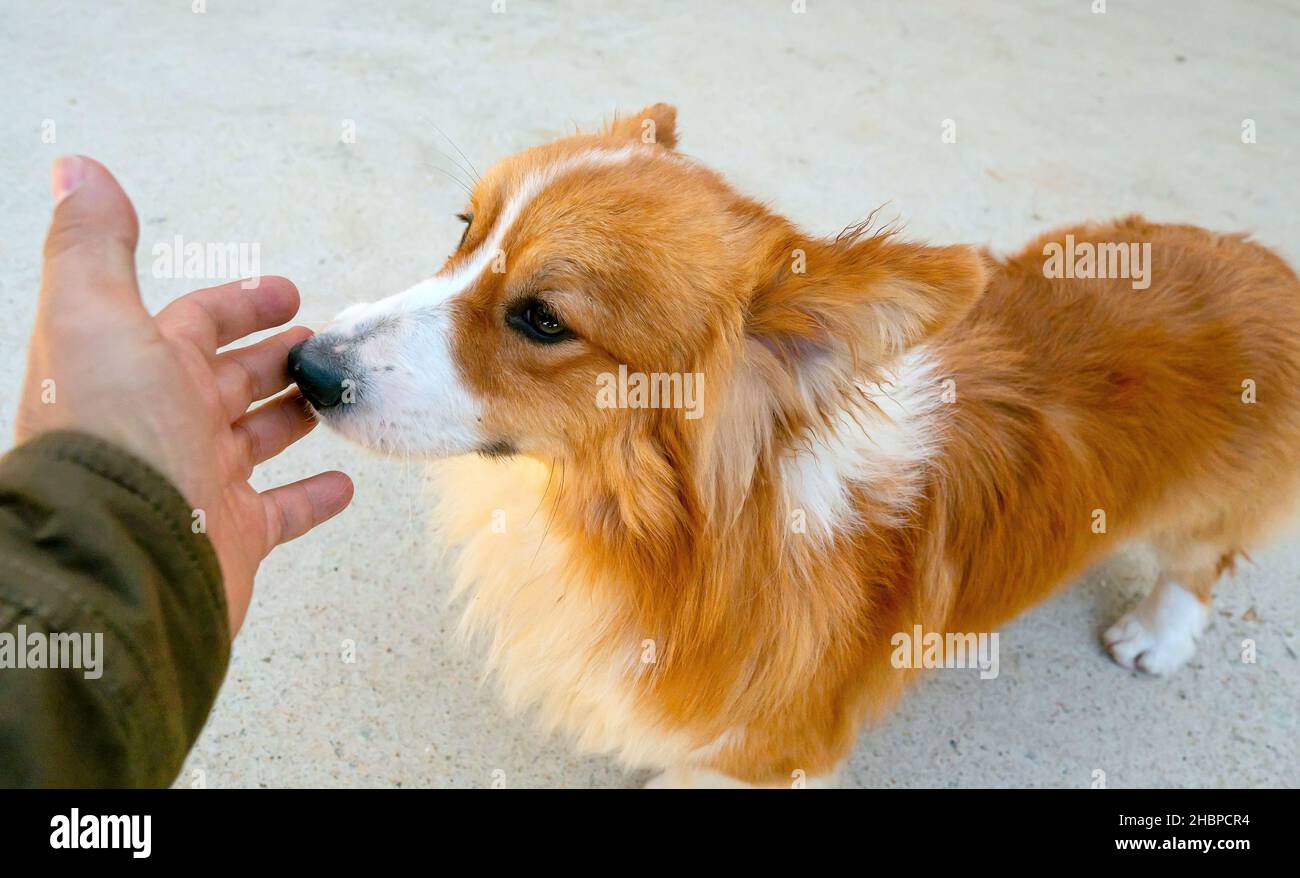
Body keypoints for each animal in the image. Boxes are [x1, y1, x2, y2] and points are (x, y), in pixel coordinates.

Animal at [289, 104, 1300, 790]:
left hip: (1210, 507)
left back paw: (1156, 635)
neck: (653, 533)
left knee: (1204, 559)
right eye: (465, 230)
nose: (305, 368)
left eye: (542, 319)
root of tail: (1266, 264)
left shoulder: (766, 753)